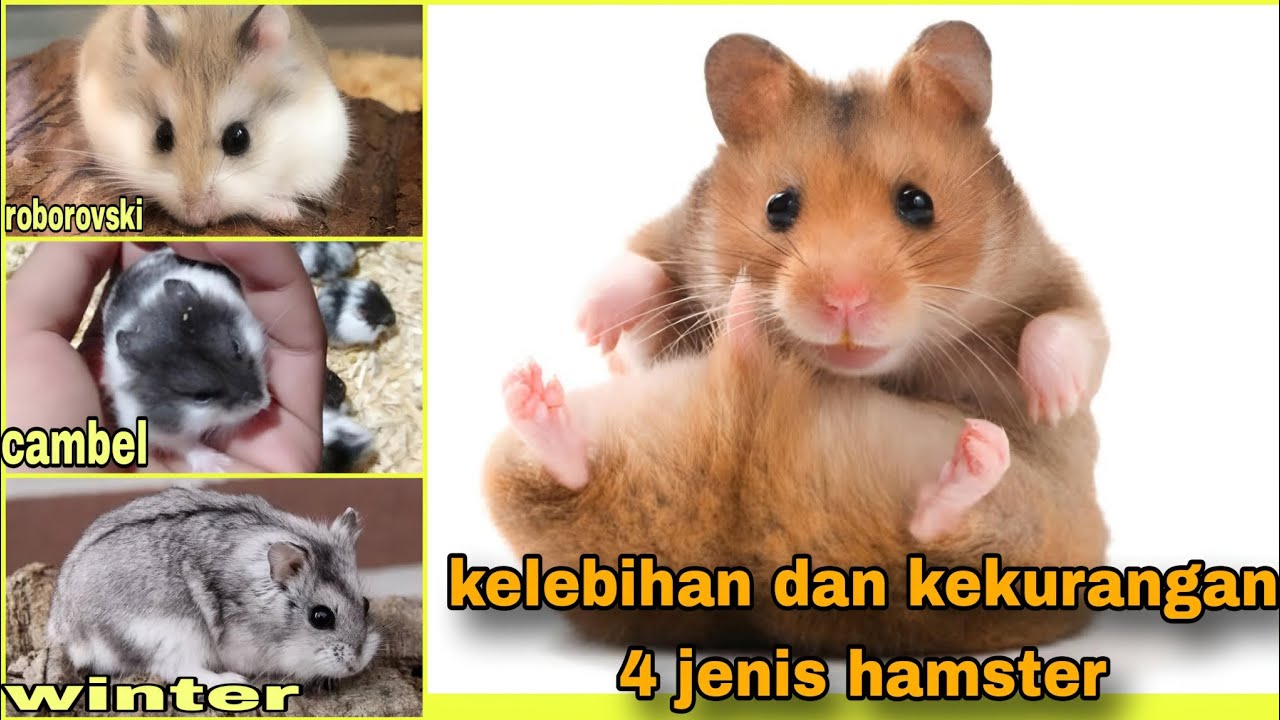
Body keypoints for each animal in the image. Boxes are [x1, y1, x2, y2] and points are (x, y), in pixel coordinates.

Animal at [46, 487, 380, 686]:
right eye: (321, 617)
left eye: (365, 603)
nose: (357, 664)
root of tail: (68, 631)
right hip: (176, 634)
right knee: (175, 671)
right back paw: (235, 682)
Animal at [102, 247, 269, 472]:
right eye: (201, 397)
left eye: (236, 346)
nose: (264, 405)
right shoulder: (156, 430)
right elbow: (186, 445)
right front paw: (220, 467)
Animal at [578, 23, 1109, 442]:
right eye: (779, 206)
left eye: (918, 202)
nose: (846, 302)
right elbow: (639, 282)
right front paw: (590, 329)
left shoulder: (1049, 276)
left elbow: (1067, 327)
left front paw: (1052, 405)